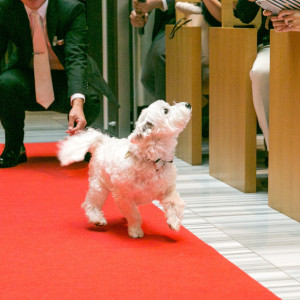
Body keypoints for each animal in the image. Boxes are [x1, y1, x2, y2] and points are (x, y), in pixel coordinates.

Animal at [57, 101, 191, 239]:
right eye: (165, 111)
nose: (188, 104)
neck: (152, 161)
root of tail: (102, 141)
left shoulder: (167, 190)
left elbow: (176, 204)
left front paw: (174, 222)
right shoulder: (125, 196)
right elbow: (134, 214)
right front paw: (135, 230)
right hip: (98, 184)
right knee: (91, 202)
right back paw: (96, 218)